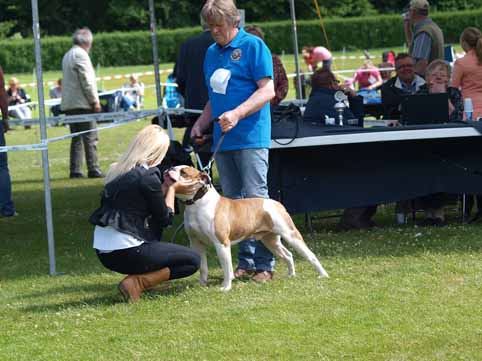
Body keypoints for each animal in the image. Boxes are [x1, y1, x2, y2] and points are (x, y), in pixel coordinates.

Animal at [166, 165, 328, 292]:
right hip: (270, 240)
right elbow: (203, 267)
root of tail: (277, 203)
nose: (169, 169)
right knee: (288, 255)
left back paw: (323, 275)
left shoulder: (221, 244)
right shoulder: (196, 244)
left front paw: (226, 287)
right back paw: (291, 275)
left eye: (184, 172)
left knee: (311, 255)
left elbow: (227, 268)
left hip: (291, 235)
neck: (197, 203)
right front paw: (202, 284)